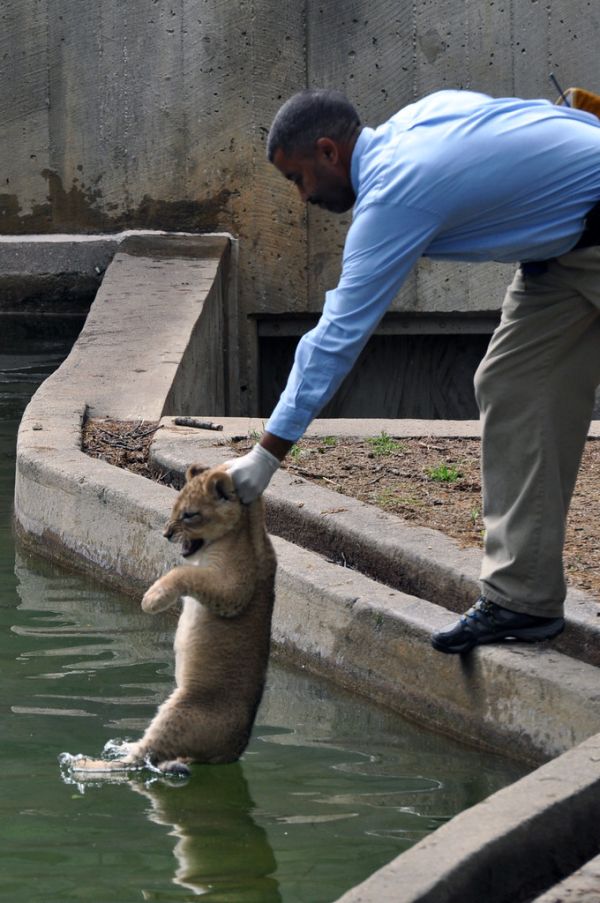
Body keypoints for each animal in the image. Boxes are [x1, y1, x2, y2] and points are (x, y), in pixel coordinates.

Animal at [65, 463, 277, 777]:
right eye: (174, 509)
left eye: (189, 515)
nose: (165, 534)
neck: (249, 530)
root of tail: (231, 753)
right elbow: (184, 569)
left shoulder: (233, 593)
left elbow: (183, 572)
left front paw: (151, 599)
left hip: (180, 712)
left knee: (138, 761)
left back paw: (85, 764)